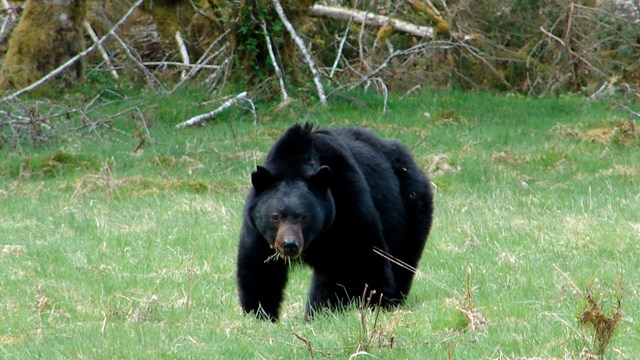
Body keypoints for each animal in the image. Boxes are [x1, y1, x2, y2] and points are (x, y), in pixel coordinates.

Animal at [238, 124, 432, 320]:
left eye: (304, 217)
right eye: (275, 216)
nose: (289, 244)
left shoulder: (348, 201)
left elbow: (366, 258)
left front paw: (374, 304)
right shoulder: (258, 230)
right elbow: (259, 270)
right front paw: (260, 313)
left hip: (412, 209)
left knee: (401, 261)